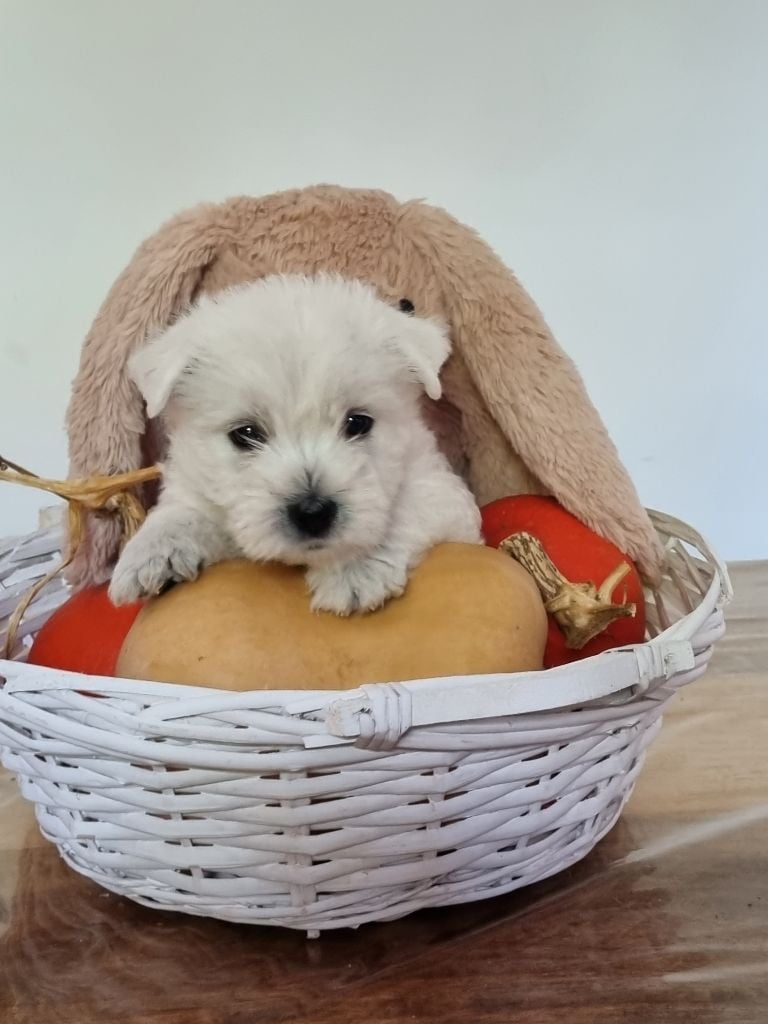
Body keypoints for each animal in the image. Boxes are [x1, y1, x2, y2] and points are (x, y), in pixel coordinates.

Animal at [108, 274, 481, 614]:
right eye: (245, 433)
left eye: (358, 422)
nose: (313, 512)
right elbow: (182, 512)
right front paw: (150, 556)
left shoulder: (441, 490)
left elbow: (401, 510)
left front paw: (353, 568)